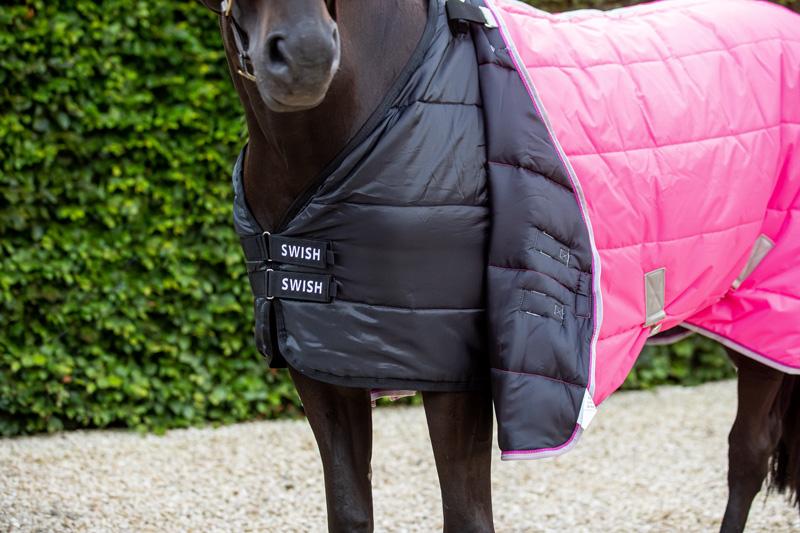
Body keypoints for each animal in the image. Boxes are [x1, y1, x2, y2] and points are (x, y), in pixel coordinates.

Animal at [195, 0, 799, 532]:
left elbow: (466, 517)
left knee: (747, 453)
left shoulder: (455, 372)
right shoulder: (320, 363)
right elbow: (349, 512)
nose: (305, 55)